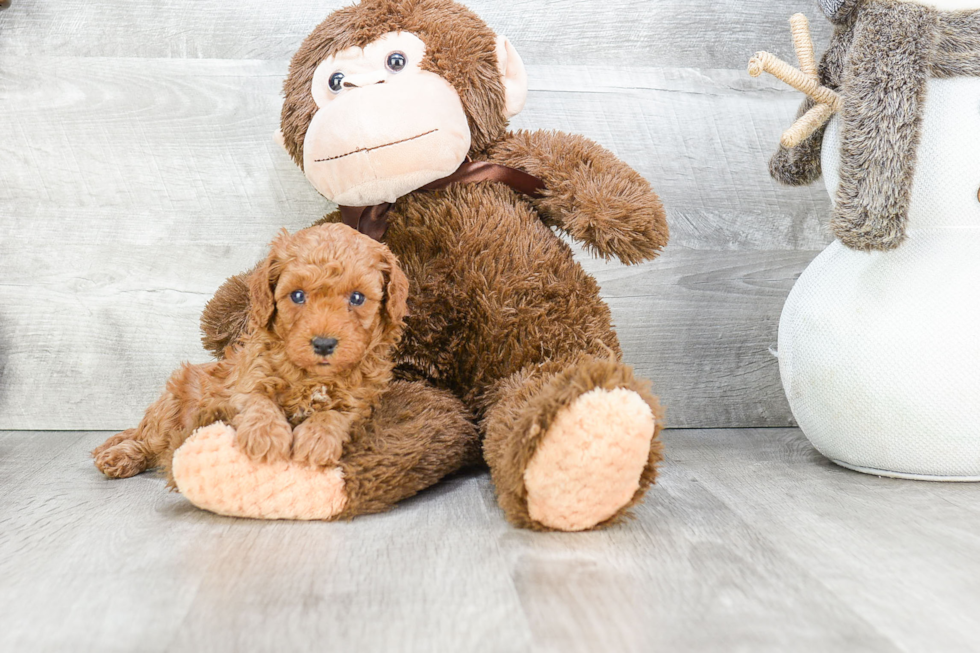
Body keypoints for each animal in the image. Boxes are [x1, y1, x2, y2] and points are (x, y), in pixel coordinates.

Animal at [94, 222, 408, 482]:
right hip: (171, 405)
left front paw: (317, 439)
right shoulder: (248, 378)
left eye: (357, 298)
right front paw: (265, 437)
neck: (311, 377)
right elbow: (259, 402)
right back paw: (119, 456)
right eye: (297, 295)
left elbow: (335, 415)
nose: (323, 344)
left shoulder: (360, 401)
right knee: (148, 441)